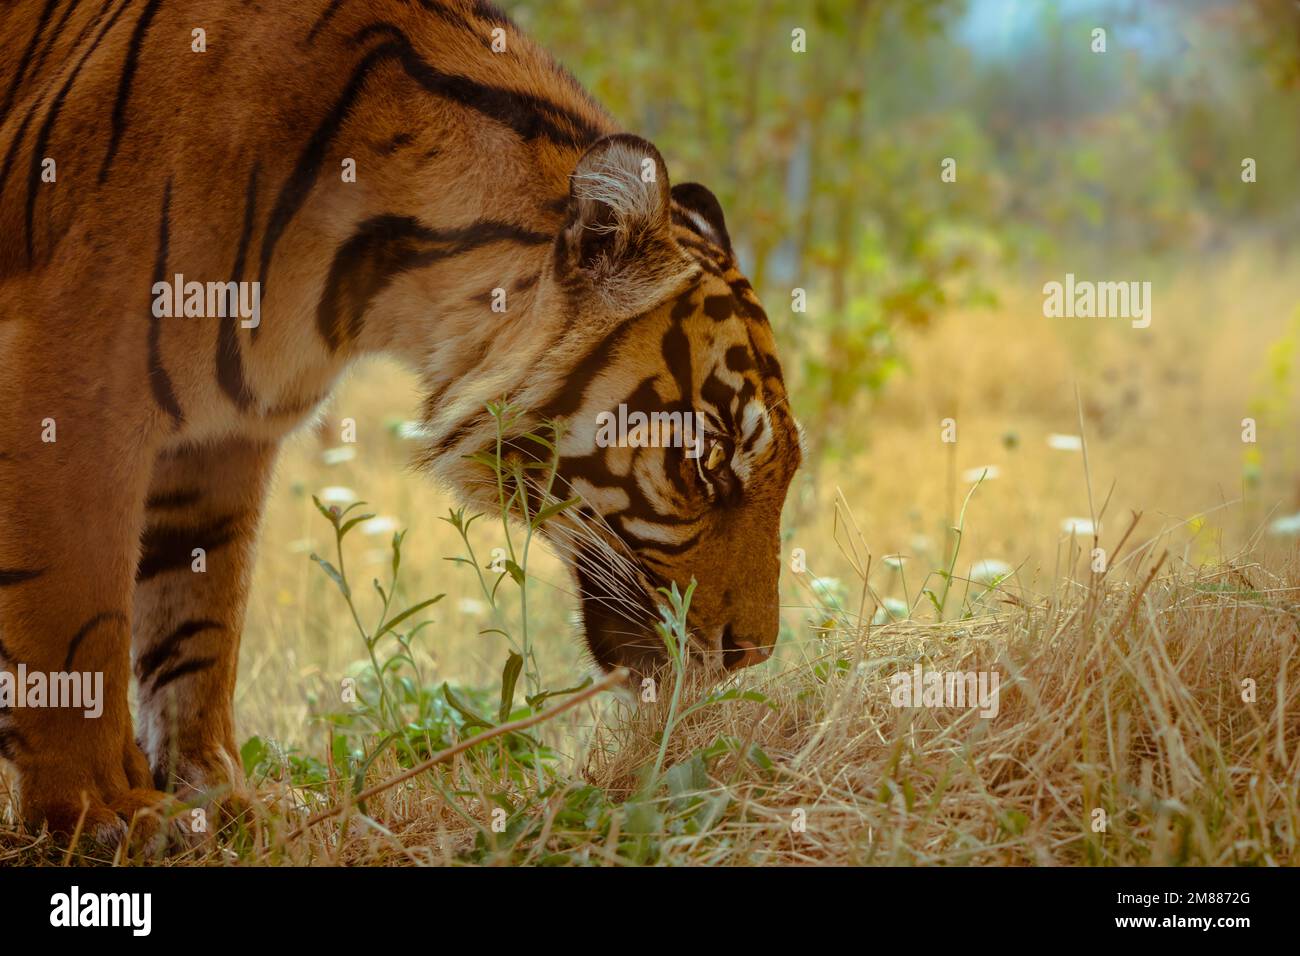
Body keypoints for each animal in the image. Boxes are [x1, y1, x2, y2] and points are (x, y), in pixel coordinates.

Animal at [0, 0, 800, 842]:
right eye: (707, 465)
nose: (752, 654)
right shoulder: (75, 379)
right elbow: (76, 619)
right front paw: (102, 810)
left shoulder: (225, 440)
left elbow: (198, 625)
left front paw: (216, 798)